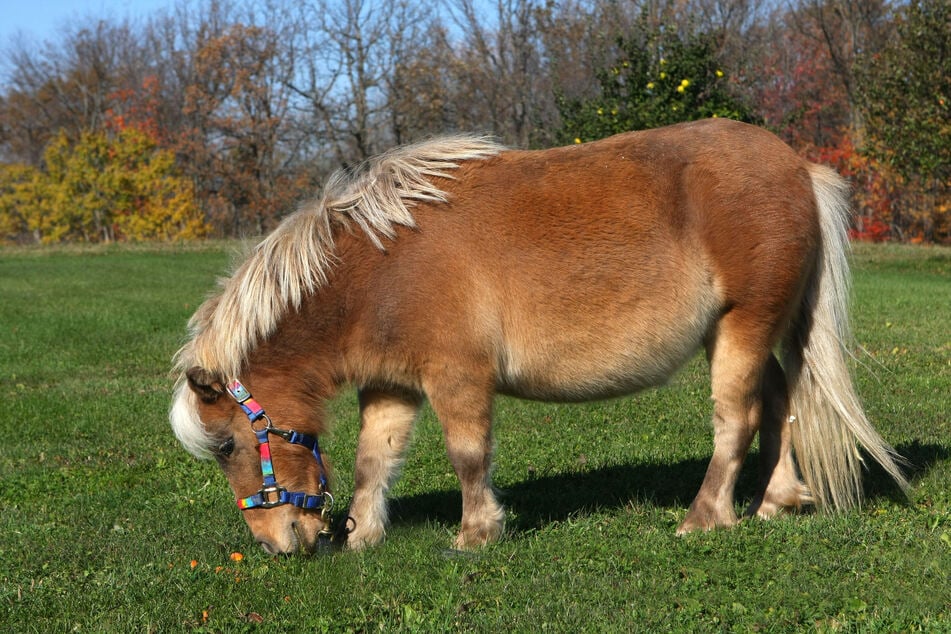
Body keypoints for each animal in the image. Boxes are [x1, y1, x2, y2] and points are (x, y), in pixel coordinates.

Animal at [169, 118, 908, 552]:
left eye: (229, 443)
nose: (276, 542)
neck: (379, 265)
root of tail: (796, 166)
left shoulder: (457, 378)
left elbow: (468, 457)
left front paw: (475, 533)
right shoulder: (391, 386)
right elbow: (372, 461)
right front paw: (362, 538)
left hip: (743, 328)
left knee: (738, 418)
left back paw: (704, 516)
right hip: (743, 332)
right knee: (781, 402)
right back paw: (773, 501)